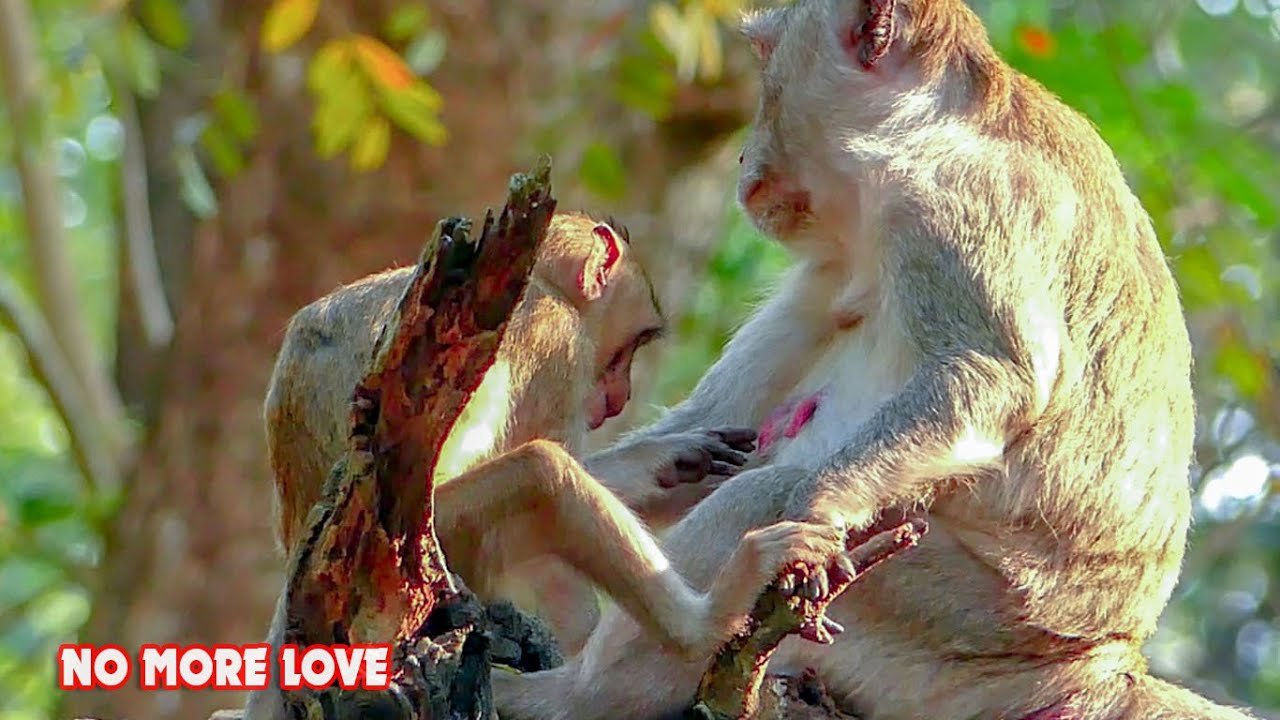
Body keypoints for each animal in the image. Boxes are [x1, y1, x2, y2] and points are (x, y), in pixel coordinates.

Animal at [491, 3, 1261, 720]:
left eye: (768, 68)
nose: (743, 157)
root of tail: (1101, 666)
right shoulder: (831, 266)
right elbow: (721, 419)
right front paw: (670, 460)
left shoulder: (958, 204)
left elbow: (991, 379)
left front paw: (820, 503)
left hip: (947, 618)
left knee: (770, 497)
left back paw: (578, 695)